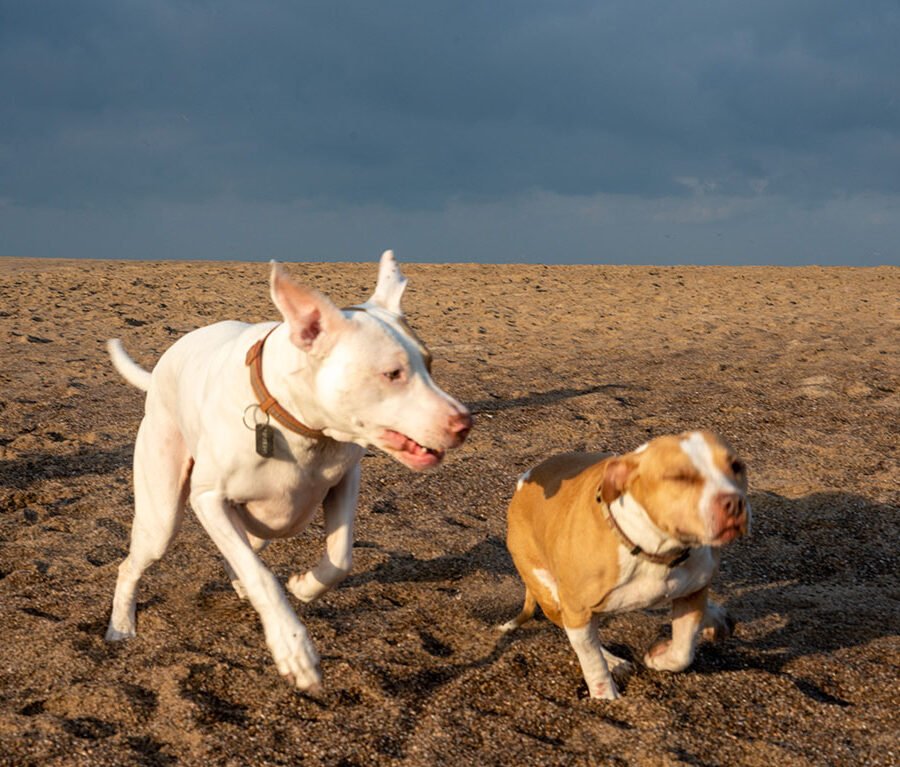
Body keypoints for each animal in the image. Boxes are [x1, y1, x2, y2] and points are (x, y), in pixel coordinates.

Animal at [105, 250, 472, 688]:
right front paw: (294, 648)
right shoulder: (209, 499)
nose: (465, 423)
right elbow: (262, 576)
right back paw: (121, 625)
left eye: (429, 364)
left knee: (246, 551)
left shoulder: (345, 481)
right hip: (162, 517)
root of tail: (162, 366)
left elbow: (340, 559)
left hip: (257, 525)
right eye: (393, 373)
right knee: (134, 565)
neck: (301, 426)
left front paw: (304, 586)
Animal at [502, 432, 748, 704]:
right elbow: (592, 659)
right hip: (550, 595)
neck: (656, 549)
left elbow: (683, 652)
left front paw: (659, 657)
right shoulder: (577, 611)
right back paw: (612, 661)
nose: (735, 503)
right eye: (679, 477)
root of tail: (524, 481)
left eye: (737, 466)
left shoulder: (692, 593)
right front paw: (605, 695)